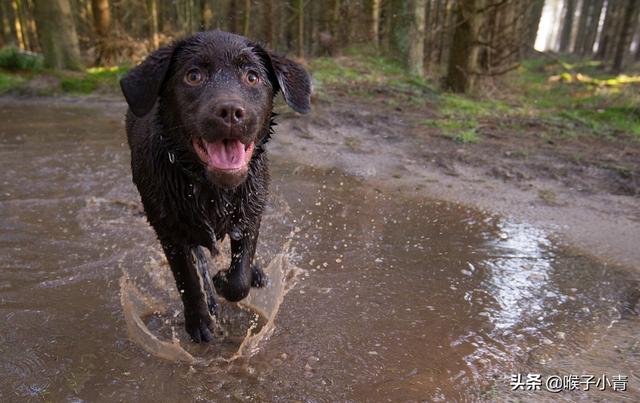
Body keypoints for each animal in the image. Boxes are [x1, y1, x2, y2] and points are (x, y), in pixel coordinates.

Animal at [121, 30, 312, 342]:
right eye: (193, 76)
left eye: (252, 76)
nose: (231, 111)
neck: (211, 190)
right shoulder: (168, 230)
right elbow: (188, 279)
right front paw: (200, 321)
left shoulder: (251, 214)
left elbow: (240, 277)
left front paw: (226, 279)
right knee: (198, 258)